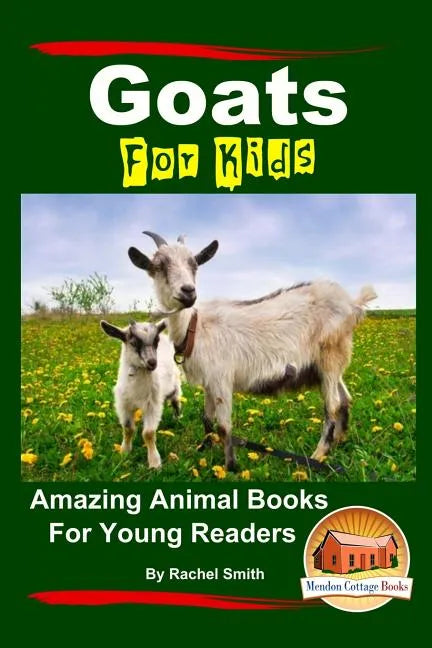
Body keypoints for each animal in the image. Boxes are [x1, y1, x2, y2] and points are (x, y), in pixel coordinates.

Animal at [100, 319, 182, 468]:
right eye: (133, 343)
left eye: (156, 341)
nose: (152, 362)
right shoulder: (124, 404)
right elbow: (128, 429)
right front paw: (124, 451)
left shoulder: (152, 405)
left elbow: (148, 433)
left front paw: (154, 462)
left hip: (174, 387)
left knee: (175, 401)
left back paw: (177, 418)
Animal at [128, 232, 376, 471]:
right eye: (158, 266)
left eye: (194, 265)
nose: (188, 292)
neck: (195, 327)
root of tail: (353, 304)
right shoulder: (209, 382)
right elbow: (206, 419)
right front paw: (204, 448)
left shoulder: (221, 379)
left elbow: (223, 426)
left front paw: (230, 466)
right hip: (331, 364)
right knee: (345, 399)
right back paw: (339, 442)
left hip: (330, 356)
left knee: (332, 406)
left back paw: (318, 454)